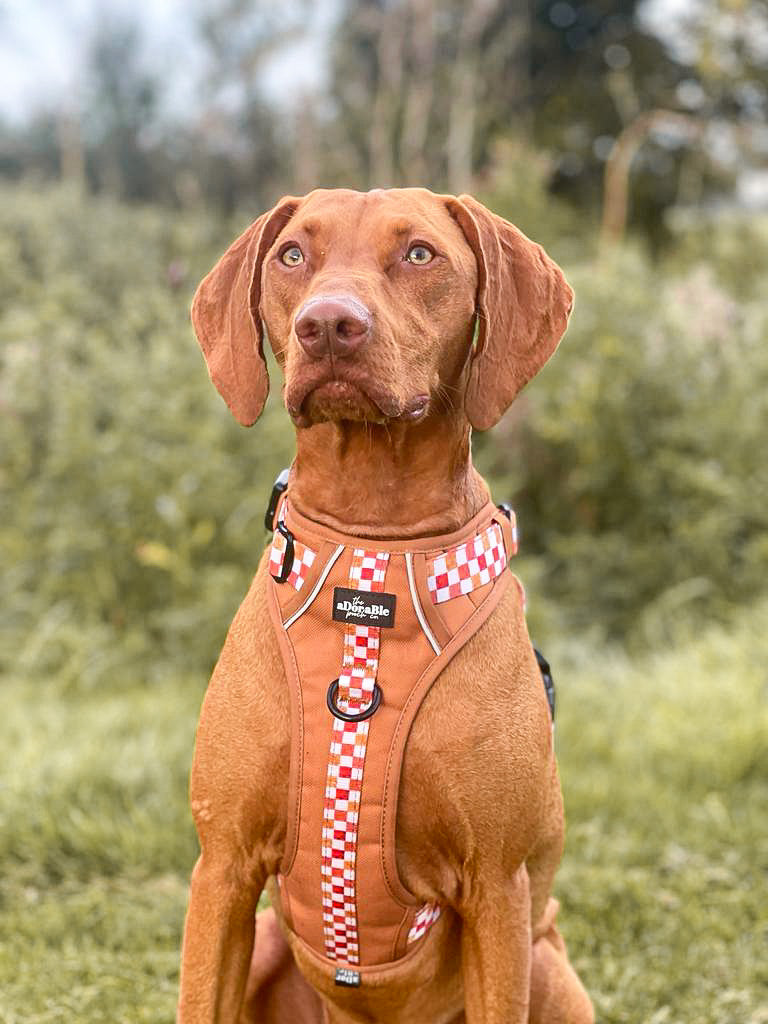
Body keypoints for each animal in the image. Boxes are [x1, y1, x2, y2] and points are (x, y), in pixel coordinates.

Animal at [179, 186, 593, 1024]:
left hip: (546, 965)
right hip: (266, 935)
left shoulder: (498, 891)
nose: (328, 324)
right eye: (292, 255)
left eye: (419, 254)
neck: (372, 545)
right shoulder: (223, 867)